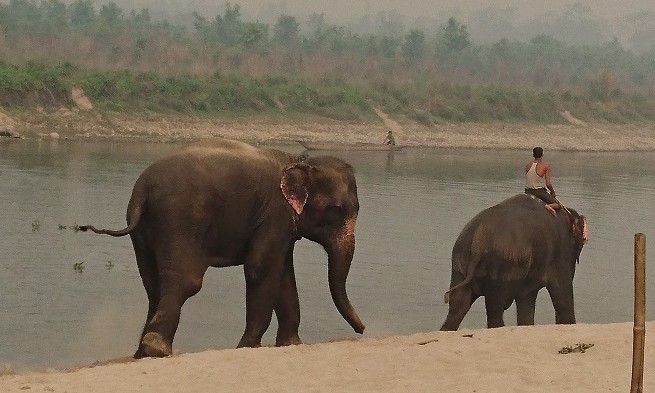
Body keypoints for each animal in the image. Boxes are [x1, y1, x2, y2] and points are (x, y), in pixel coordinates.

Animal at [79, 139, 366, 356]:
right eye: (337, 209)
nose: (362, 330)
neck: (297, 161)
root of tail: (142, 189)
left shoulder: (281, 223)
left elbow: (284, 274)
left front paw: (291, 344)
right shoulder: (274, 213)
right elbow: (260, 269)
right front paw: (247, 346)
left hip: (142, 230)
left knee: (153, 284)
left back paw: (143, 352)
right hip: (181, 219)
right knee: (187, 281)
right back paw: (157, 348)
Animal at [440, 193, 588, 330]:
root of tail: (478, 240)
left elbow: (527, 300)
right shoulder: (560, 252)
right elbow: (562, 296)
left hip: (460, 263)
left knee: (459, 305)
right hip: (500, 265)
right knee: (495, 307)